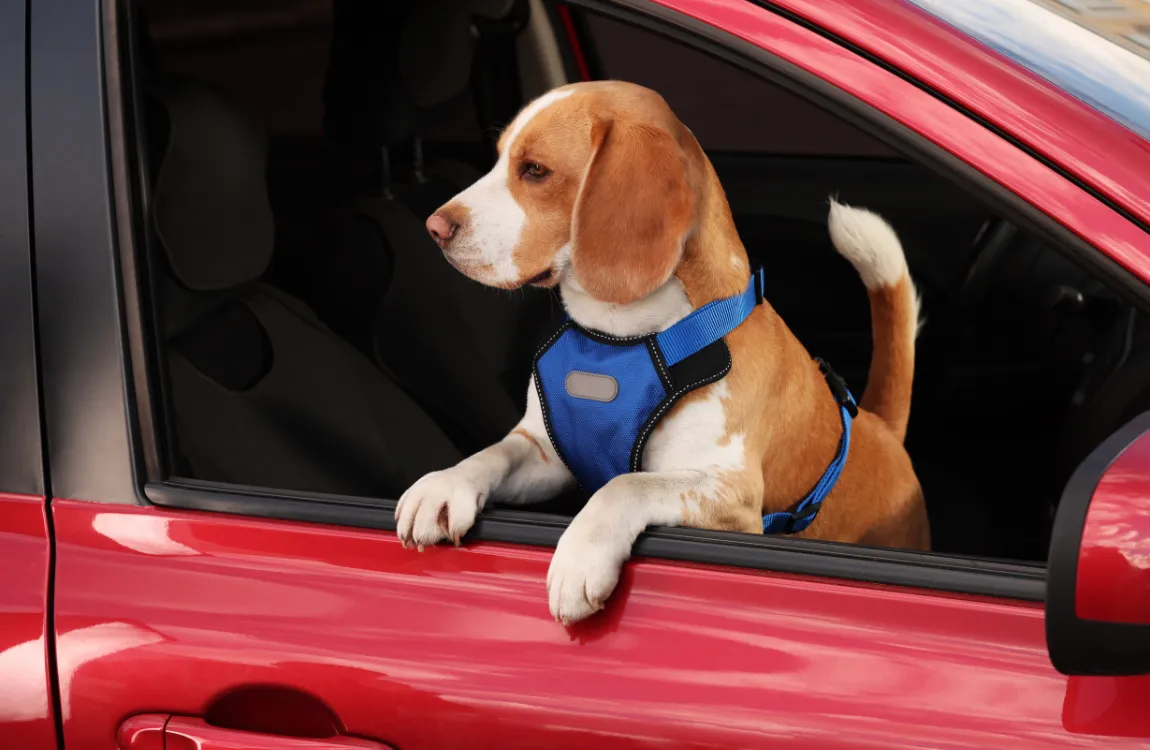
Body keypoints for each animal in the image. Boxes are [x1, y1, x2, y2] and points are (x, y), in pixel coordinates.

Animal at [400, 79, 929, 625]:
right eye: (499, 157)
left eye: (535, 170)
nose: (434, 226)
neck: (619, 339)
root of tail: (881, 427)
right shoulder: (545, 454)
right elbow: (494, 452)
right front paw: (445, 484)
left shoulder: (730, 495)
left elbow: (625, 485)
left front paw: (579, 556)